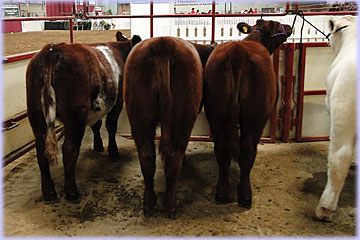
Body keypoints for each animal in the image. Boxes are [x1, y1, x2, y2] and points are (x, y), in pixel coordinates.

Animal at [26, 33, 141, 202]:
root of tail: (52, 49)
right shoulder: (118, 101)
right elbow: (111, 126)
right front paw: (113, 151)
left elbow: (96, 125)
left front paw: (98, 145)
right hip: (75, 116)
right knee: (69, 149)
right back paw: (71, 192)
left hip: (36, 115)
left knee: (41, 152)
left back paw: (49, 192)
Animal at [123, 36, 202, 218]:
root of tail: (163, 42)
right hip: (183, 121)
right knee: (174, 160)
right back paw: (171, 206)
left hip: (140, 119)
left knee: (147, 159)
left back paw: (149, 205)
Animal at [204, 19, 292, 208]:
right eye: (277, 24)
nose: (289, 26)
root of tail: (237, 51)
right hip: (255, 118)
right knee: (248, 151)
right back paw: (245, 196)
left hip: (215, 113)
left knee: (222, 151)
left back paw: (221, 193)